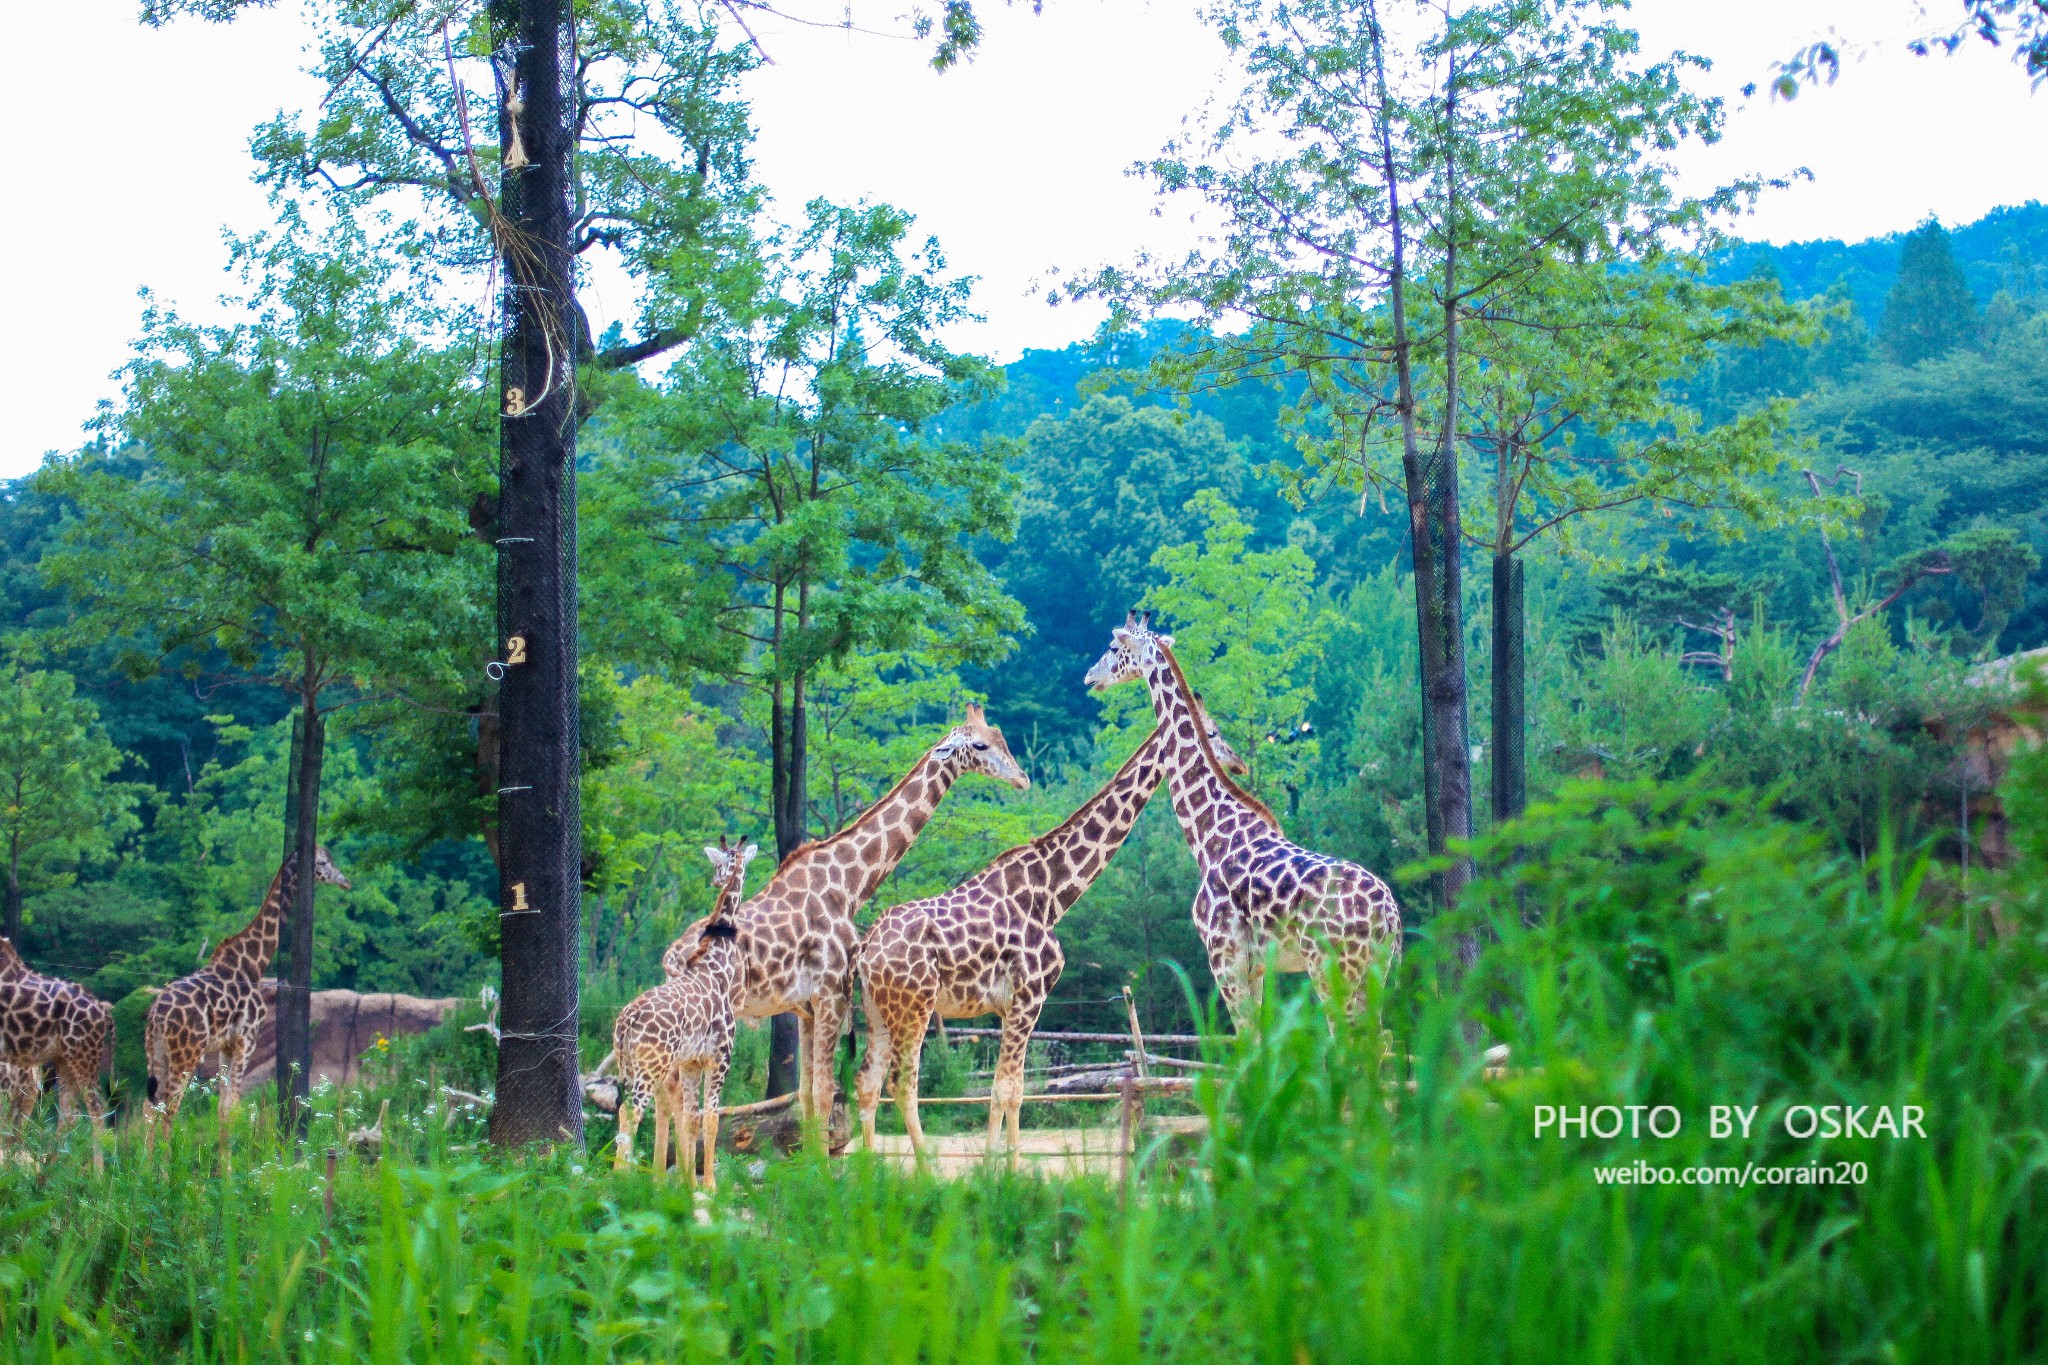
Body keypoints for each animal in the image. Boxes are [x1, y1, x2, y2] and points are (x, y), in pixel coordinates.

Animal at [0, 933, 111, 1170]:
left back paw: (97, 1174)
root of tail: (104, 1014)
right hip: (64, 1061)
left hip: (81, 1055)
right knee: (69, 1114)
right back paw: (52, 1170)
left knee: (95, 1109)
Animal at [142, 847, 350, 1162]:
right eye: (324, 862)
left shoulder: (226, 1046)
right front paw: (229, 1174)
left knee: (150, 1107)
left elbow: (221, 1110)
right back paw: (164, 1171)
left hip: (155, 1052)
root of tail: (156, 1016)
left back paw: (140, 1167)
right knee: (170, 1107)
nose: (345, 881)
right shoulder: (246, 1041)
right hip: (185, 1054)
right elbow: (232, 1109)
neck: (253, 964)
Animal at [614, 834, 770, 1186]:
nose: (715, 880)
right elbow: (711, 1118)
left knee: (622, 1111)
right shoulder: (720, 1057)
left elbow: (691, 1118)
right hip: (651, 1064)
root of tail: (627, 1020)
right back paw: (621, 1181)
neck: (716, 963)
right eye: (717, 864)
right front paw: (710, 1185)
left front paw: (688, 1185)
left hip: (626, 1064)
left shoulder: (691, 1062)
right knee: (633, 1113)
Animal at [851, 703, 1245, 1162]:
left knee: (867, 1082)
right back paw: (925, 1167)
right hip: (914, 1006)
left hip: (877, 1010)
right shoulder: (1029, 997)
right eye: (1211, 731)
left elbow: (1009, 1089)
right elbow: (1008, 1089)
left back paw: (871, 1168)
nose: (1236, 763)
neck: (1052, 894)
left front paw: (997, 1164)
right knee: (902, 1084)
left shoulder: (1010, 1006)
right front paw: (1003, 1169)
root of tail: (865, 951)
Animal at [1081, 618, 1400, 1023]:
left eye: (1112, 646)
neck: (1207, 834)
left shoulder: (1224, 958)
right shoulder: (1256, 967)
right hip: (1374, 971)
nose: (1091, 677)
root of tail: (1388, 914)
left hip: (1332, 968)